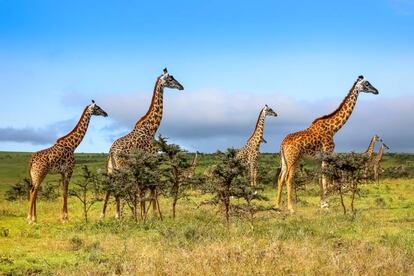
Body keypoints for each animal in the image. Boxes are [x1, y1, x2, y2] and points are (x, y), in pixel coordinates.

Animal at [100, 68, 183, 219]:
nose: (181, 86)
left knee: (109, 189)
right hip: (122, 167)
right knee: (119, 187)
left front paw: (145, 213)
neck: (152, 128)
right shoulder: (152, 159)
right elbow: (152, 186)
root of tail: (112, 151)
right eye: (170, 79)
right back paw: (119, 215)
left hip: (110, 169)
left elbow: (145, 188)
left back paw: (104, 216)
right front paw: (154, 215)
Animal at [276, 74, 380, 212]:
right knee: (288, 178)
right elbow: (326, 179)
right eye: (367, 83)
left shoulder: (318, 159)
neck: (333, 129)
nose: (376, 91)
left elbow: (321, 179)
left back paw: (277, 205)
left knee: (280, 178)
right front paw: (326, 206)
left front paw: (322, 204)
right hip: (294, 159)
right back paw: (291, 208)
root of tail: (282, 144)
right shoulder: (327, 154)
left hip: (284, 160)